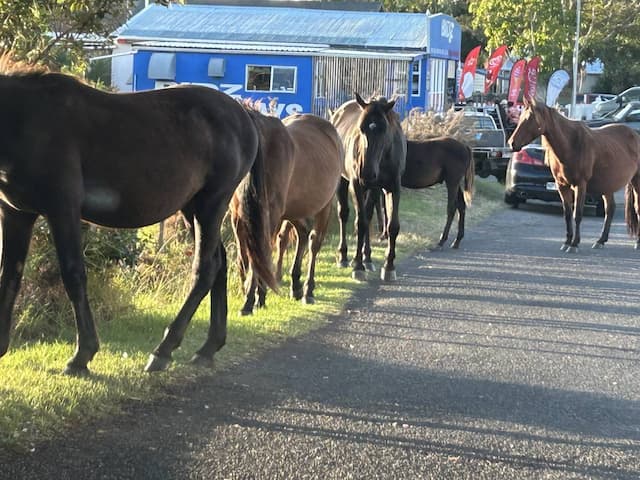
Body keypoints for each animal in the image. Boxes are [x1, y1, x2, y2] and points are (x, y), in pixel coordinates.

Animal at [0, 63, 276, 374]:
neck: (25, 117)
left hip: (212, 202)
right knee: (219, 262)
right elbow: (10, 275)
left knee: (205, 268)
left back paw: (163, 350)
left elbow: (73, 275)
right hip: (192, 208)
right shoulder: (16, 213)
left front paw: (83, 354)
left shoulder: (62, 210)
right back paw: (208, 347)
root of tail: (242, 112)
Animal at [231, 112, 344, 316]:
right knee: (301, 233)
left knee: (314, 243)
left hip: (324, 206)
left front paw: (251, 300)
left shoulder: (267, 216)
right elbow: (245, 257)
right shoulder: (238, 217)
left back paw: (308, 291)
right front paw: (256, 296)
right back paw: (296, 286)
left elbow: (258, 257)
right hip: (293, 210)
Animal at [330, 94, 404, 282]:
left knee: (369, 214)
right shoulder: (357, 184)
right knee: (344, 214)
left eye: (384, 129)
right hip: (344, 181)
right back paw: (344, 256)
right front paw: (357, 266)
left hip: (373, 189)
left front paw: (389, 265)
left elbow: (392, 225)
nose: (367, 171)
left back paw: (368, 257)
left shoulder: (392, 186)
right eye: (361, 128)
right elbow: (361, 223)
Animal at [510, 99, 640, 253]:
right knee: (610, 209)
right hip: (607, 185)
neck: (571, 144)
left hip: (637, 181)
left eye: (530, 118)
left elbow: (577, 214)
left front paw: (574, 244)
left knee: (637, 208)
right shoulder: (562, 186)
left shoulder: (580, 185)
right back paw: (600, 241)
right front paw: (567, 242)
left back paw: (637, 242)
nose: (512, 143)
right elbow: (567, 214)